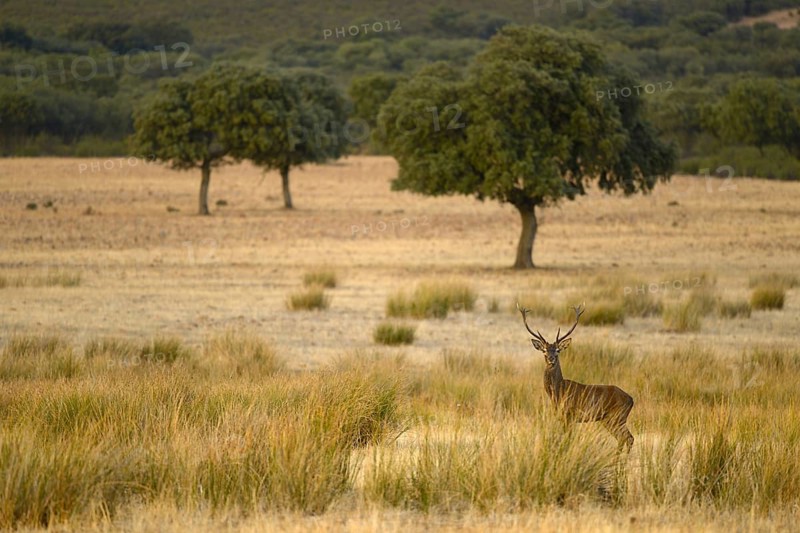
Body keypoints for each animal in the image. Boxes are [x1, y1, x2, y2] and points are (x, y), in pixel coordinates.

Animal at [516, 302, 634, 451]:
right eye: (544, 350)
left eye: (558, 350)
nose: (551, 359)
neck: (558, 392)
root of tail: (631, 400)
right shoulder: (562, 417)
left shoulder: (569, 415)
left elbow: (568, 439)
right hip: (608, 419)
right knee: (625, 438)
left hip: (617, 417)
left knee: (628, 438)